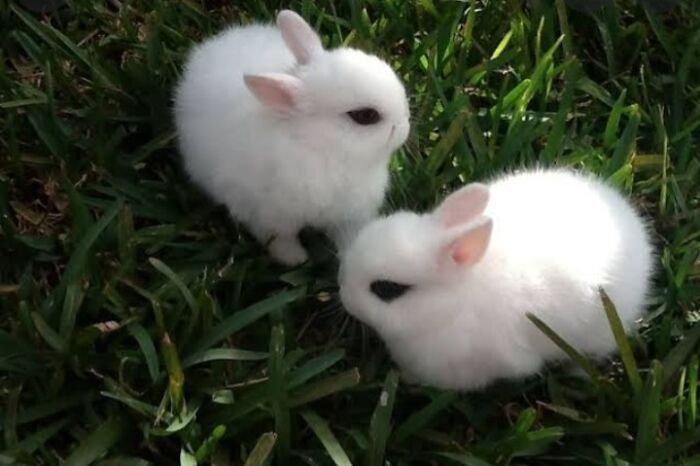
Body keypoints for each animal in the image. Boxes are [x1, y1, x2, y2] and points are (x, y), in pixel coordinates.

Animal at [173, 10, 410, 265]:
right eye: (365, 116)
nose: (405, 125)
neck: (322, 148)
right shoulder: (267, 217)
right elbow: (280, 240)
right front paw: (296, 259)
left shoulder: (349, 216)